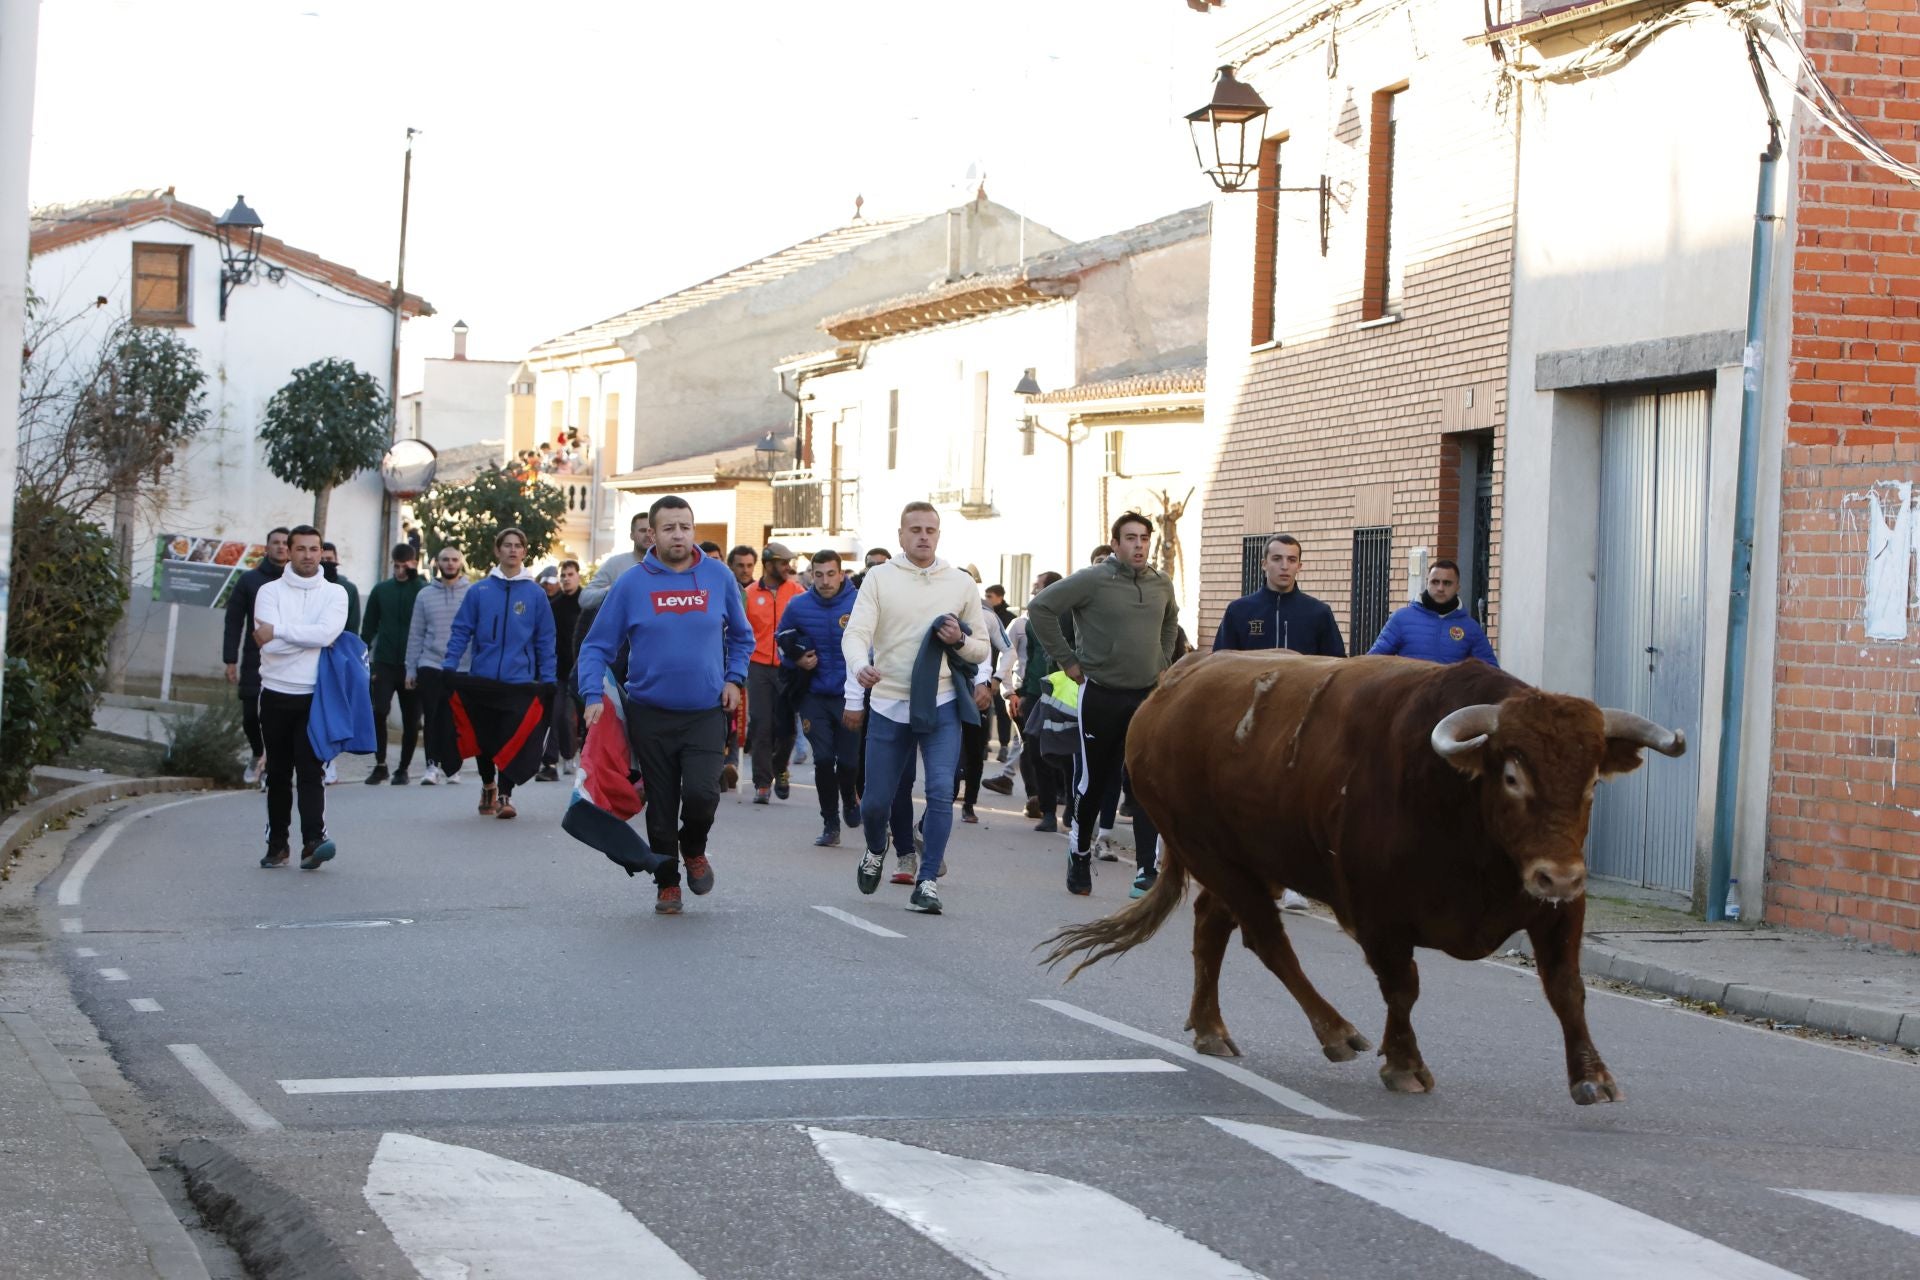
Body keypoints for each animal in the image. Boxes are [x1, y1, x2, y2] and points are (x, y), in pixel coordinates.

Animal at [1044, 656, 1689, 1105]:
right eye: (1512, 776)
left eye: (1591, 783)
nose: (1560, 874)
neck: (1458, 802)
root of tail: (1174, 684)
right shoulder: (1378, 914)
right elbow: (1402, 987)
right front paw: (1403, 1064)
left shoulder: (1556, 913)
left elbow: (1566, 989)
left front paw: (1592, 1076)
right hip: (1214, 854)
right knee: (1267, 941)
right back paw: (1335, 1032)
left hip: (1245, 862)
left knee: (1212, 928)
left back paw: (1210, 1029)